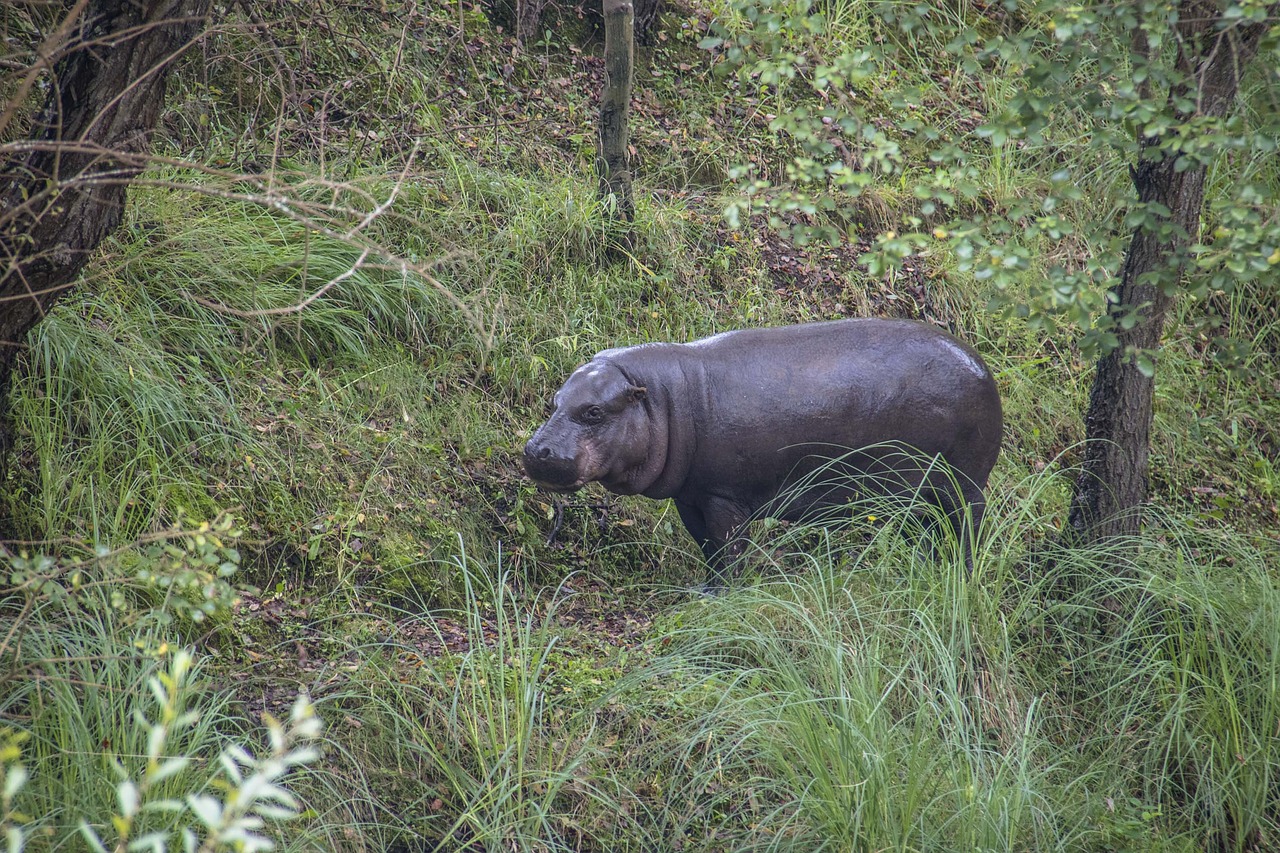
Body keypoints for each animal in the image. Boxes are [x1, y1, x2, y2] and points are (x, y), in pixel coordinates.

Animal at [524, 315, 1003, 589]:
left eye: (594, 412)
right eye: (554, 401)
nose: (537, 449)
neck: (663, 399)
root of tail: (981, 364)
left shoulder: (723, 497)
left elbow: (728, 550)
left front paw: (723, 595)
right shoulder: (691, 497)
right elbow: (707, 549)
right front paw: (704, 591)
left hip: (963, 486)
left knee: (966, 531)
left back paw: (959, 576)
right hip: (916, 495)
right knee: (926, 532)